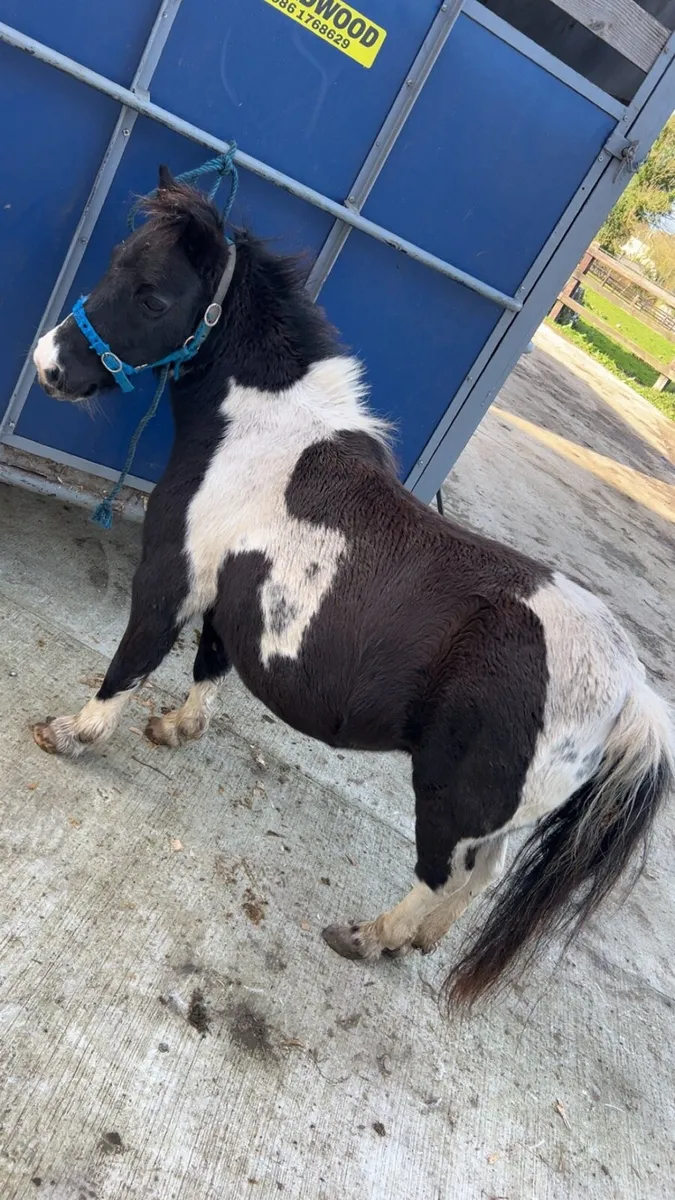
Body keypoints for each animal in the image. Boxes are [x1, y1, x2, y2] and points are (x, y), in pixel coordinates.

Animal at [31, 167, 673, 1004]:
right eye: (115, 260)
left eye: (151, 292)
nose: (48, 364)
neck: (261, 438)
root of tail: (630, 692)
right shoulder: (238, 602)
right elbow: (209, 668)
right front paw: (176, 729)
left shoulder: (172, 580)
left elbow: (129, 665)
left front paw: (74, 733)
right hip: (497, 812)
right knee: (483, 874)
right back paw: (417, 942)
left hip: (450, 801)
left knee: (443, 875)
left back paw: (367, 937)